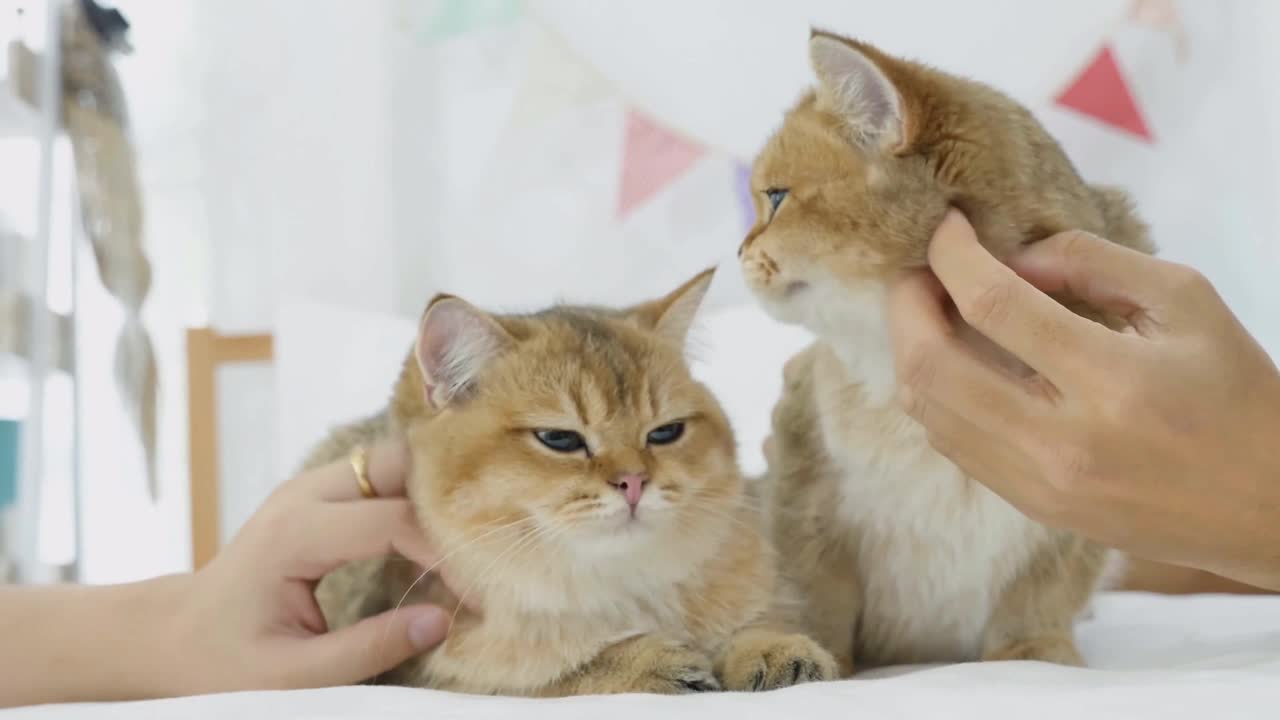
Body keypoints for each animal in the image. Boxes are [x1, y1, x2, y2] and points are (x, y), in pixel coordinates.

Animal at [304, 270, 834, 696]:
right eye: (559, 438)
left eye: (665, 432)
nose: (634, 481)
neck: (617, 584)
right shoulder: (430, 670)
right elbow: (561, 672)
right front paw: (643, 661)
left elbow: (756, 623)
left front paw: (769, 645)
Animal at [737, 30, 1157, 671]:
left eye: (777, 197)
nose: (737, 252)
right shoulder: (801, 474)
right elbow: (813, 591)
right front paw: (812, 654)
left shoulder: (1081, 507)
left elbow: (1042, 593)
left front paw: (1035, 652)